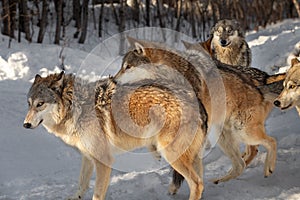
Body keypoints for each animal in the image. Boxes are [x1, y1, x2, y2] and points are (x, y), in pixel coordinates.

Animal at [23, 68, 207, 199]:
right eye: (29, 104)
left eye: (40, 104)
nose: (25, 124)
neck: (76, 109)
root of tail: (195, 98)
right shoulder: (87, 157)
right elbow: (81, 185)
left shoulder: (103, 161)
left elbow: (97, 194)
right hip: (189, 156)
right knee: (201, 181)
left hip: (172, 154)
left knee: (197, 183)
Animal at [118, 36, 278, 193]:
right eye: (122, 66)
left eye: (128, 67)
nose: (114, 80)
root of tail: (261, 87)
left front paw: (174, 186)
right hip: (224, 136)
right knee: (241, 164)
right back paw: (219, 181)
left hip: (243, 131)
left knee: (270, 142)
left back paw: (268, 168)